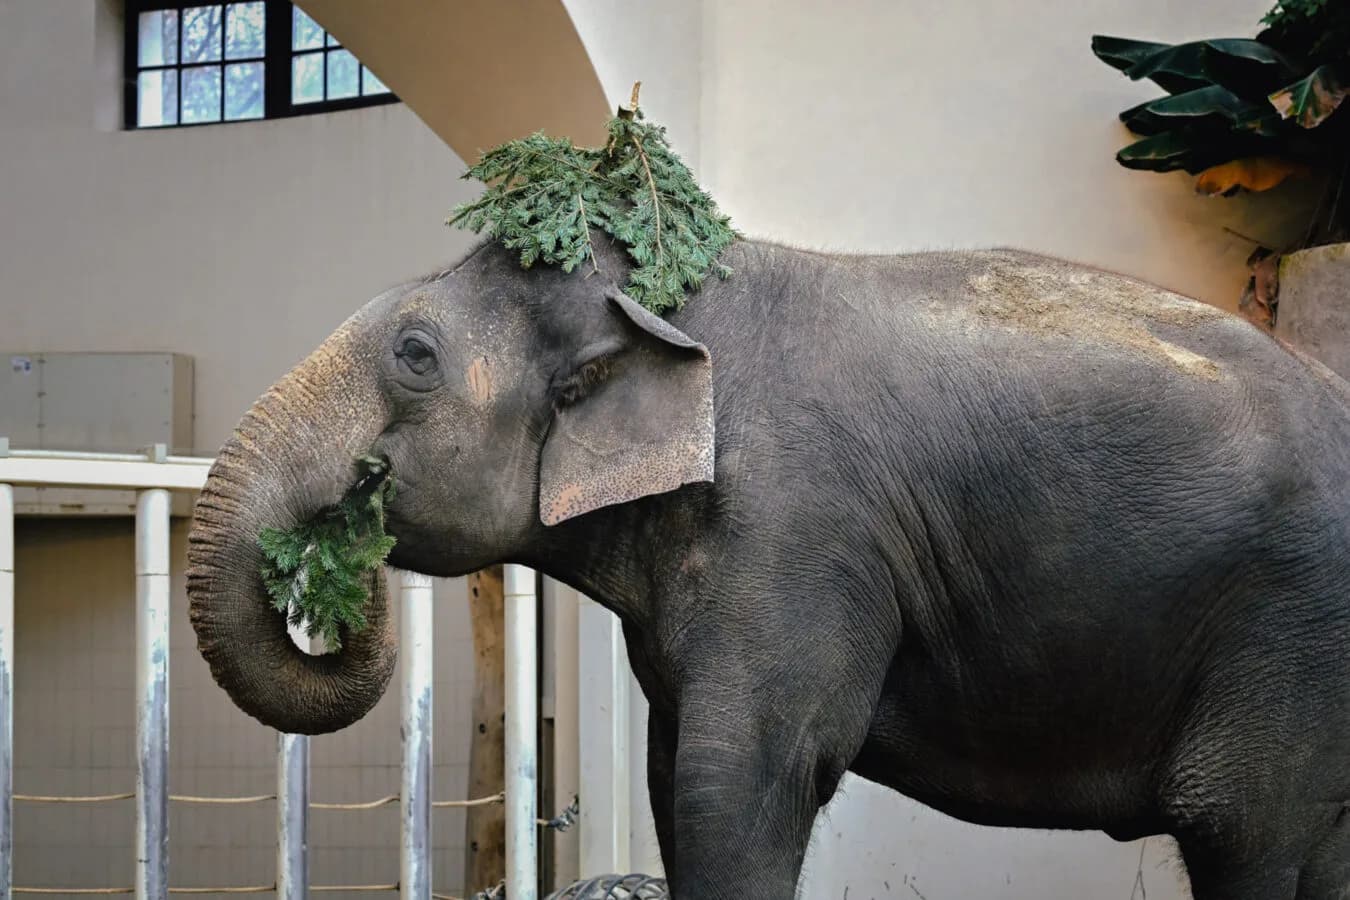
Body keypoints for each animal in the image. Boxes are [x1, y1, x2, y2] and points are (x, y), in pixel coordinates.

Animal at [186, 235, 1350, 899]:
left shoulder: (798, 528)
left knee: (1241, 831)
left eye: (416, 357)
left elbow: (734, 780)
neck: (675, 300)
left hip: (1291, 635)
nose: (356, 505)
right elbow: (671, 778)